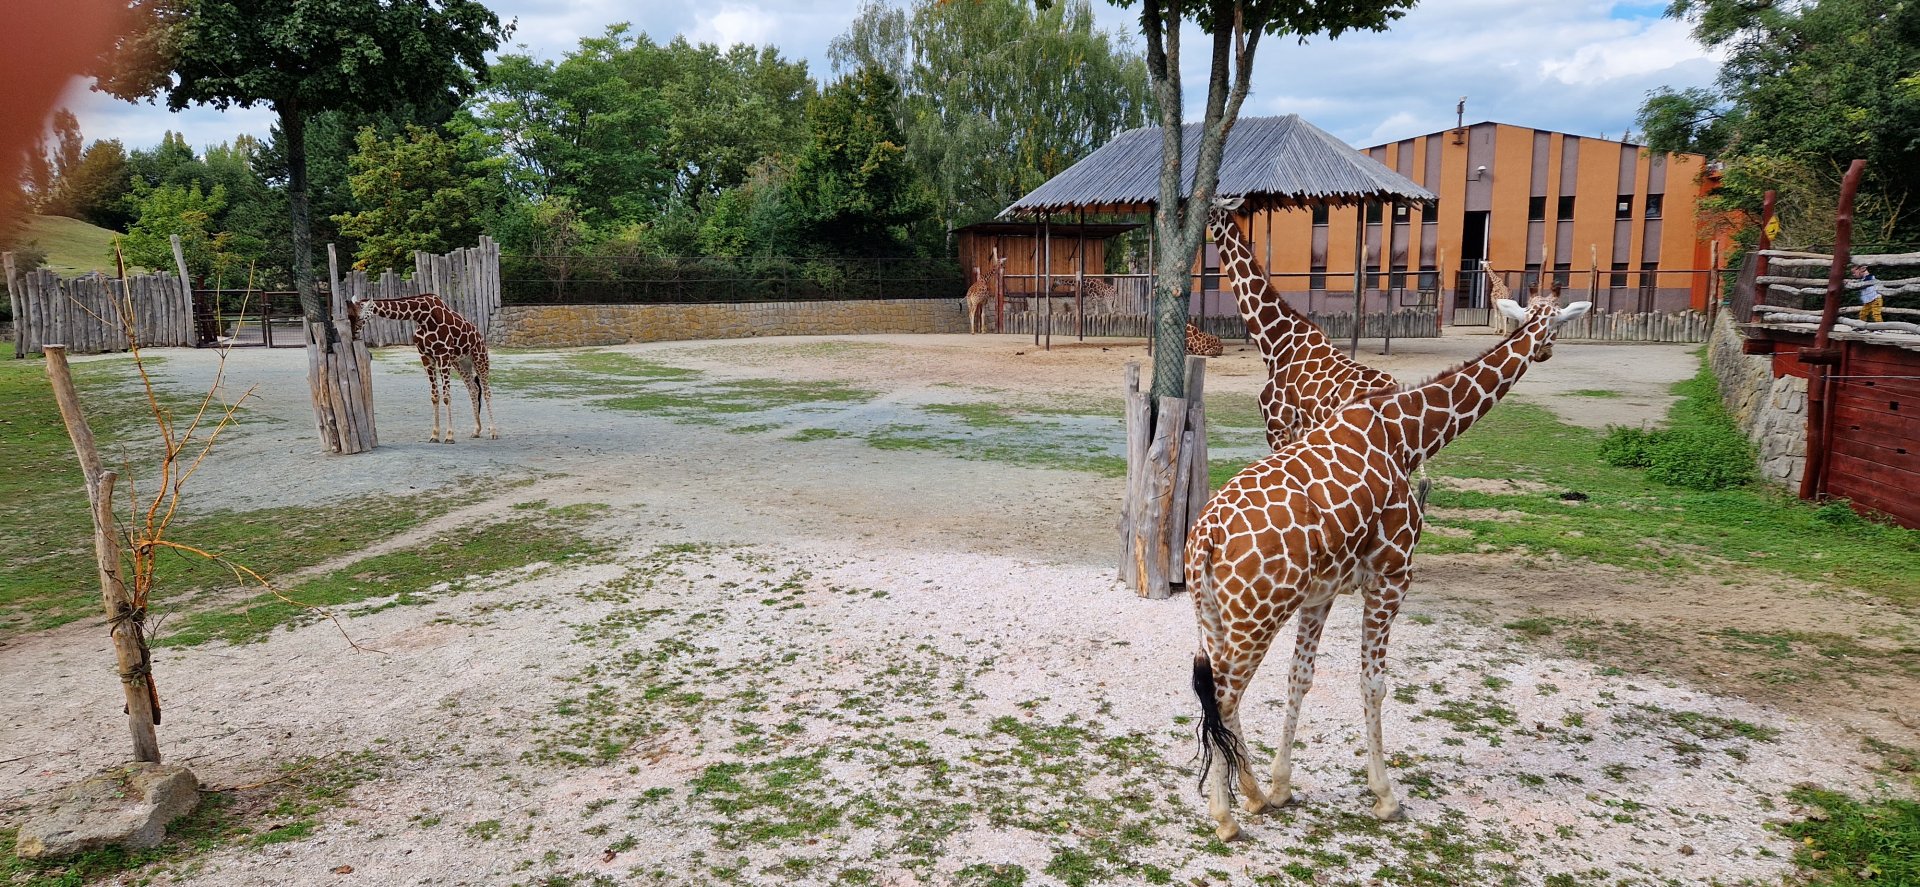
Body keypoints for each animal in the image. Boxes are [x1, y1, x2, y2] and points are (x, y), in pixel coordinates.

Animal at [347, 293, 497, 443]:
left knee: (486, 392)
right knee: (473, 389)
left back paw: (493, 432)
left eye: (360, 317)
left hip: (480, 358)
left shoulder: (443, 355)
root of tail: (479, 335)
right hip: (460, 362)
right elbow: (435, 396)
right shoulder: (426, 357)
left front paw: (449, 436)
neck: (422, 317)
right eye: (349, 317)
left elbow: (447, 397)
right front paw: (435, 435)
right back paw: (476, 430)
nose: (353, 335)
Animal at [1184, 287, 1590, 841]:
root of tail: (1205, 537)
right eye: (1556, 324)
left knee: (1221, 692)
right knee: (1224, 696)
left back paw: (1252, 796)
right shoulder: (1393, 577)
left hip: (1214, 614)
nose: (1546, 351)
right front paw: (1385, 797)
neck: (1408, 434)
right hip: (1257, 615)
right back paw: (1225, 817)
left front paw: (1282, 786)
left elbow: (1300, 677)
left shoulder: (1323, 592)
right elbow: (1373, 683)